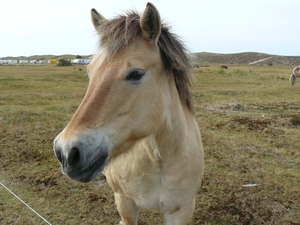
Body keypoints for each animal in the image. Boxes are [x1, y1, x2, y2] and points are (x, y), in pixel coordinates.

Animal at [53, 2, 204, 224]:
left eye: (136, 74)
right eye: (90, 72)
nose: (65, 152)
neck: (158, 160)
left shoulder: (181, 210)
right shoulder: (125, 203)